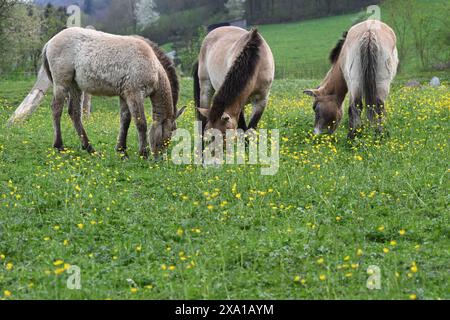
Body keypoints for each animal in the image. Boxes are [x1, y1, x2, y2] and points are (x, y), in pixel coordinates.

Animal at [40, 27, 185, 159]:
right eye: (171, 131)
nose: (160, 159)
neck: (152, 64)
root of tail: (50, 42)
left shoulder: (124, 95)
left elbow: (125, 120)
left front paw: (122, 151)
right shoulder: (135, 94)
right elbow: (141, 123)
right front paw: (143, 154)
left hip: (75, 86)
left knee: (74, 113)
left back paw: (90, 149)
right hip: (62, 84)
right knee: (56, 109)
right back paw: (59, 146)